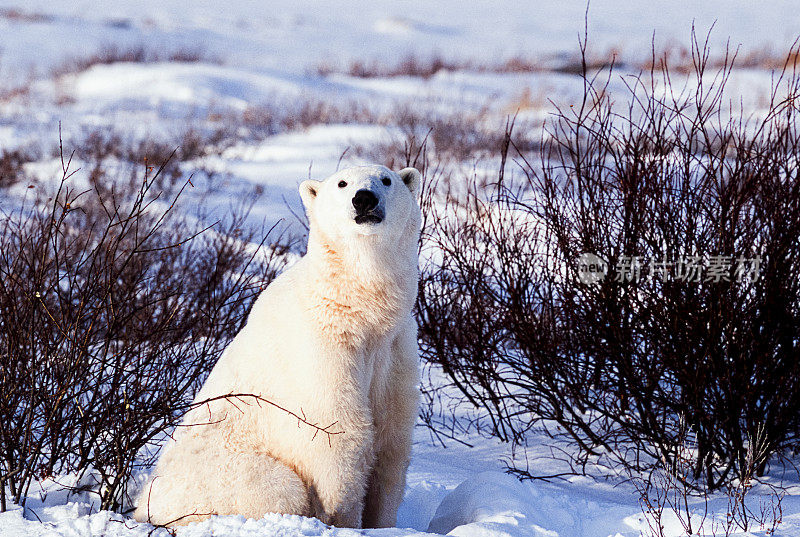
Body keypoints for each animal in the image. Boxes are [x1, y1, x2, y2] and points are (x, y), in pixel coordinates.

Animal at [136, 164, 424, 528]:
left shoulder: (396, 348)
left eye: (386, 180)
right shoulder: (322, 348)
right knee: (278, 487)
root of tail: (143, 503)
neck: (359, 311)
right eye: (342, 183)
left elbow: (392, 440)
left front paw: (381, 523)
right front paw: (342, 521)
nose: (364, 199)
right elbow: (339, 434)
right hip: (219, 475)